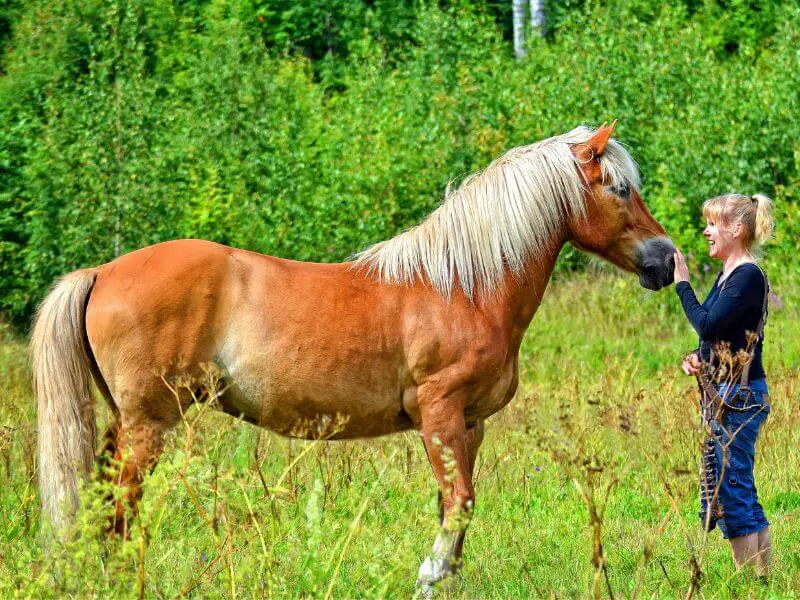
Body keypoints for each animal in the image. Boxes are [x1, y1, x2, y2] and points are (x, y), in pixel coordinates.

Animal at [31, 122, 676, 592]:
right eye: (619, 188)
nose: (666, 260)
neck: (463, 286)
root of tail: (101, 272)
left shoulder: (471, 425)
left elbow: (458, 510)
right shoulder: (440, 413)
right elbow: (458, 502)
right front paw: (428, 578)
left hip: (126, 421)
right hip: (149, 423)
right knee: (119, 507)